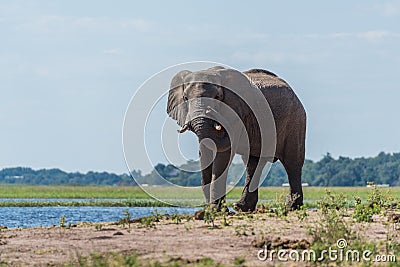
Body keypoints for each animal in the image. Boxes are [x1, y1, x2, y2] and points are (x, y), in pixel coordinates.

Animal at [166, 66, 306, 211]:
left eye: (217, 97)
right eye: (185, 98)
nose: (210, 111)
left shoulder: (236, 113)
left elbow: (223, 153)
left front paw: (216, 210)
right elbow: (205, 152)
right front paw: (210, 210)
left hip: (296, 121)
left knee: (292, 163)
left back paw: (292, 207)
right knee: (252, 163)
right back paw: (241, 207)